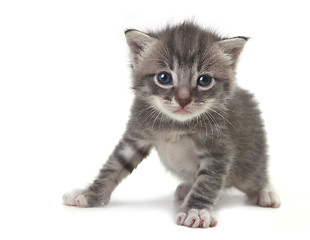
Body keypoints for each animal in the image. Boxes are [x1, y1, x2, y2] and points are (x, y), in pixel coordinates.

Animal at [63, 22, 280, 229]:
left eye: (204, 80)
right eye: (164, 77)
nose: (183, 100)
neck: (175, 124)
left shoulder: (218, 150)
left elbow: (207, 182)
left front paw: (196, 211)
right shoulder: (136, 135)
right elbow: (114, 166)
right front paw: (90, 194)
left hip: (251, 162)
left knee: (257, 176)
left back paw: (264, 192)